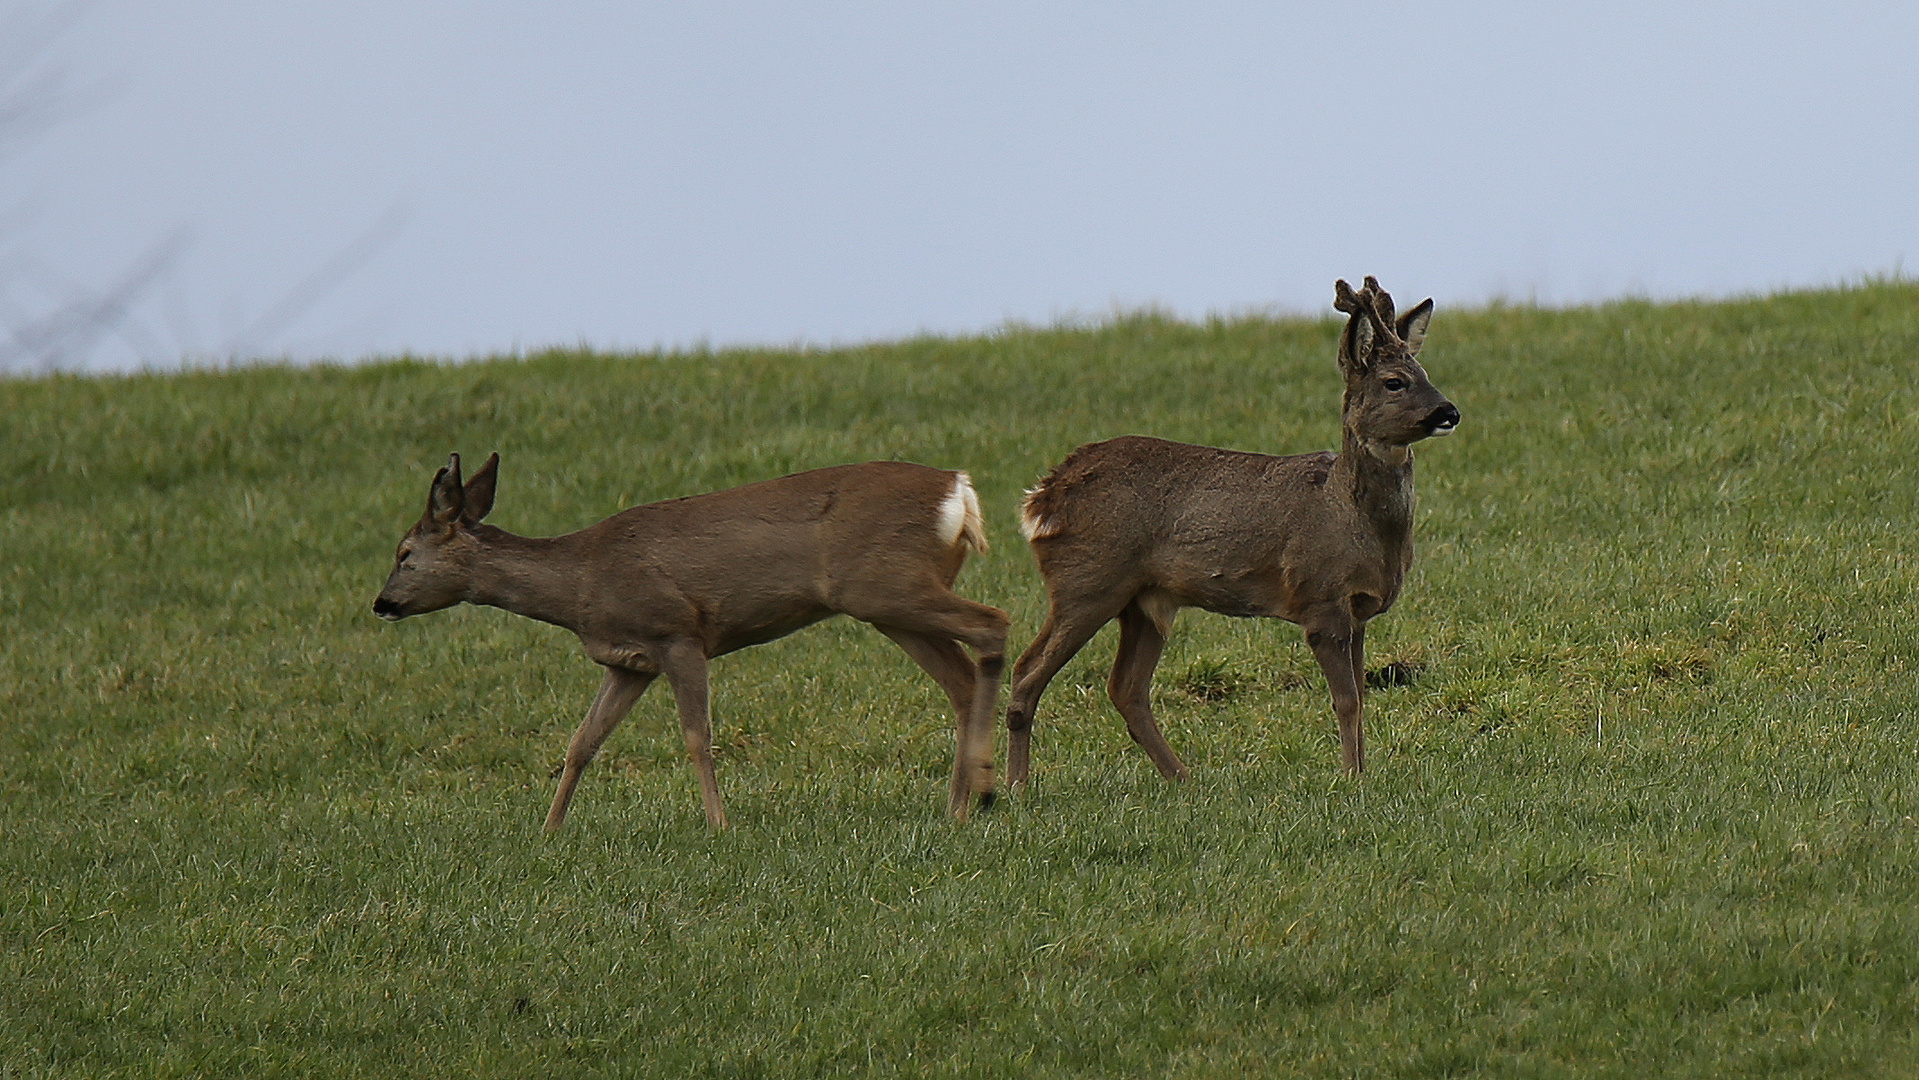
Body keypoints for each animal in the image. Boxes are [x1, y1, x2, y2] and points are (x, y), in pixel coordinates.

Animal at [364, 452, 1013, 832]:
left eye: (404, 554)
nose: (382, 603)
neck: (581, 582)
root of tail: (960, 491)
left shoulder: (677, 632)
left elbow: (698, 737)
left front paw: (719, 824)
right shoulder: (629, 662)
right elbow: (582, 742)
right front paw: (549, 830)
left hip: (886, 586)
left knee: (995, 623)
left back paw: (984, 791)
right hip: (889, 604)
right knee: (961, 679)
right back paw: (956, 807)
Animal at [1005, 278, 1450, 786]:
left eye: (1426, 372)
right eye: (1394, 382)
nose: (1449, 411)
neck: (1348, 514)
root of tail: (1041, 497)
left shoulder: (1356, 612)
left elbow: (1361, 694)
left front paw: (1364, 771)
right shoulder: (1320, 600)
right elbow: (1347, 700)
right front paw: (1352, 778)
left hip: (1145, 601)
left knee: (1126, 688)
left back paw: (1183, 778)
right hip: (1085, 581)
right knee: (1026, 670)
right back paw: (1016, 786)